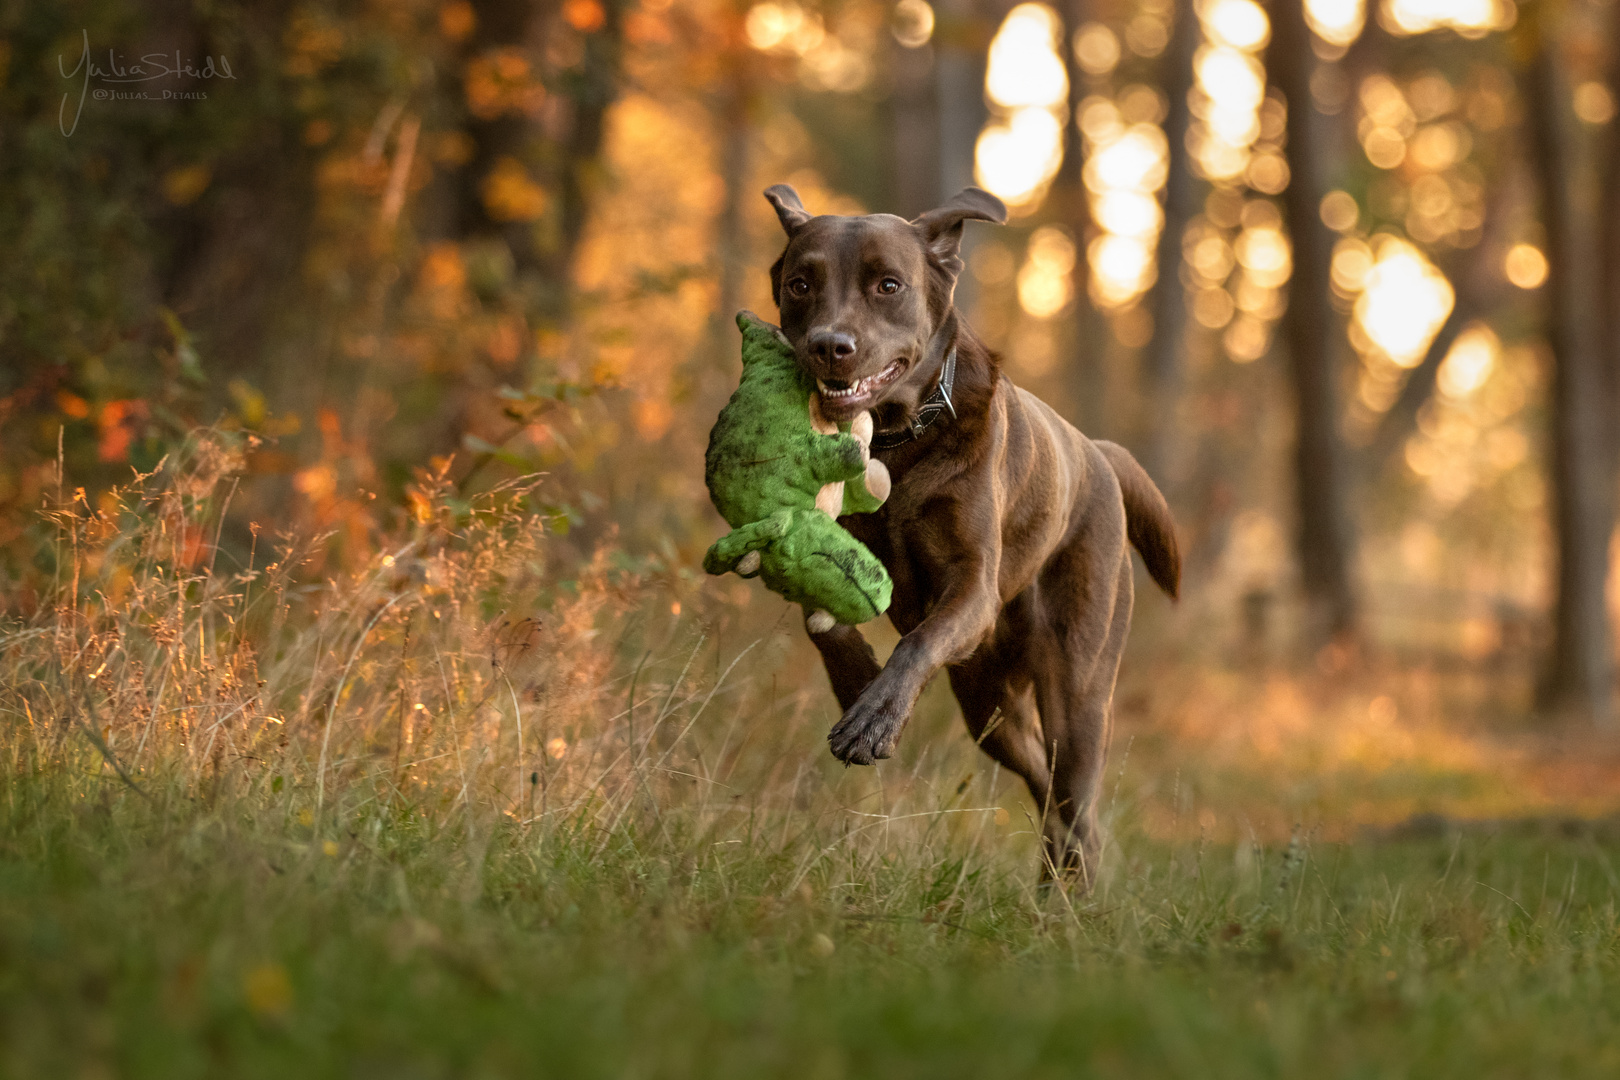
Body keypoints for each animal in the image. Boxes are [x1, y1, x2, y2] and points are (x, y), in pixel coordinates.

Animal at [758, 181, 1179, 880]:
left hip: (1077, 686)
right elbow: (819, 617)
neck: (898, 444)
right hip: (988, 703)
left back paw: (1077, 884)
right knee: (1043, 782)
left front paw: (873, 718)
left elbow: (917, 642)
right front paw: (854, 678)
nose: (829, 344)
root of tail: (1096, 453)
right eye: (799, 284)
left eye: (889, 285)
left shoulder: (973, 586)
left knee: (1077, 798)